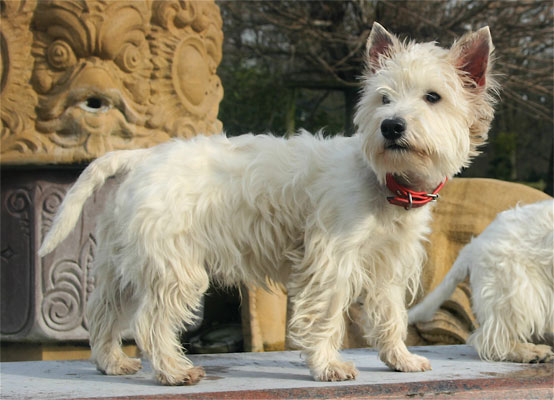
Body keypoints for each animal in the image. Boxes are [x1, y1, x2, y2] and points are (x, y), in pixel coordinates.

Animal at [38, 23, 496, 386]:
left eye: (433, 97)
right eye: (383, 98)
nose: (391, 126)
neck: (389, 184)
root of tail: (141, 157)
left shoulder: (388, 265)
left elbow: (390, 315)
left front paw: (399, 358)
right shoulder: (330, 259)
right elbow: (325, 313)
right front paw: (328, 365)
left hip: (124, 265)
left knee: (103, 312)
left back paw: (112, 362)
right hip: (174, 267)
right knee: (150, 321)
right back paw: (174, 371)